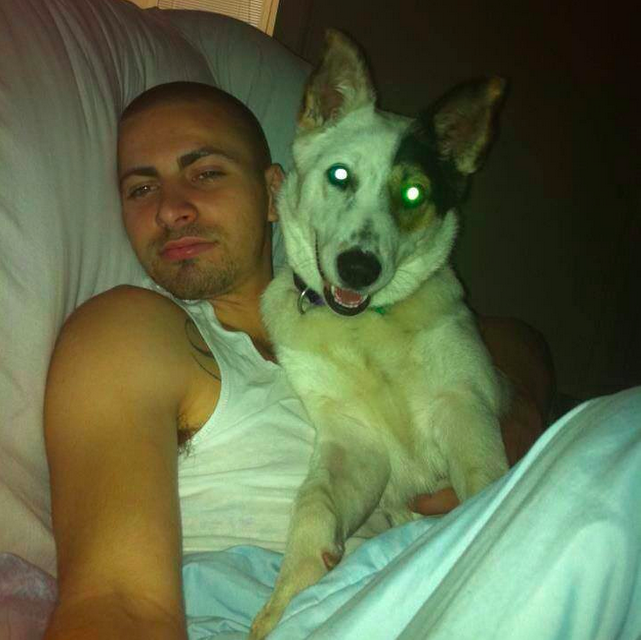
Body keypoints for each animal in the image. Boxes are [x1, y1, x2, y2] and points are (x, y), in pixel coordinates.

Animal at [252, 27, 508, 636]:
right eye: (340, 175)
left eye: (413, 193)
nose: (358, 269)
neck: (368, 330)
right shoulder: (354, 443)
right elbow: (313, 508)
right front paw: (286, 600)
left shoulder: (465, 407)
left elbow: (484, 479)